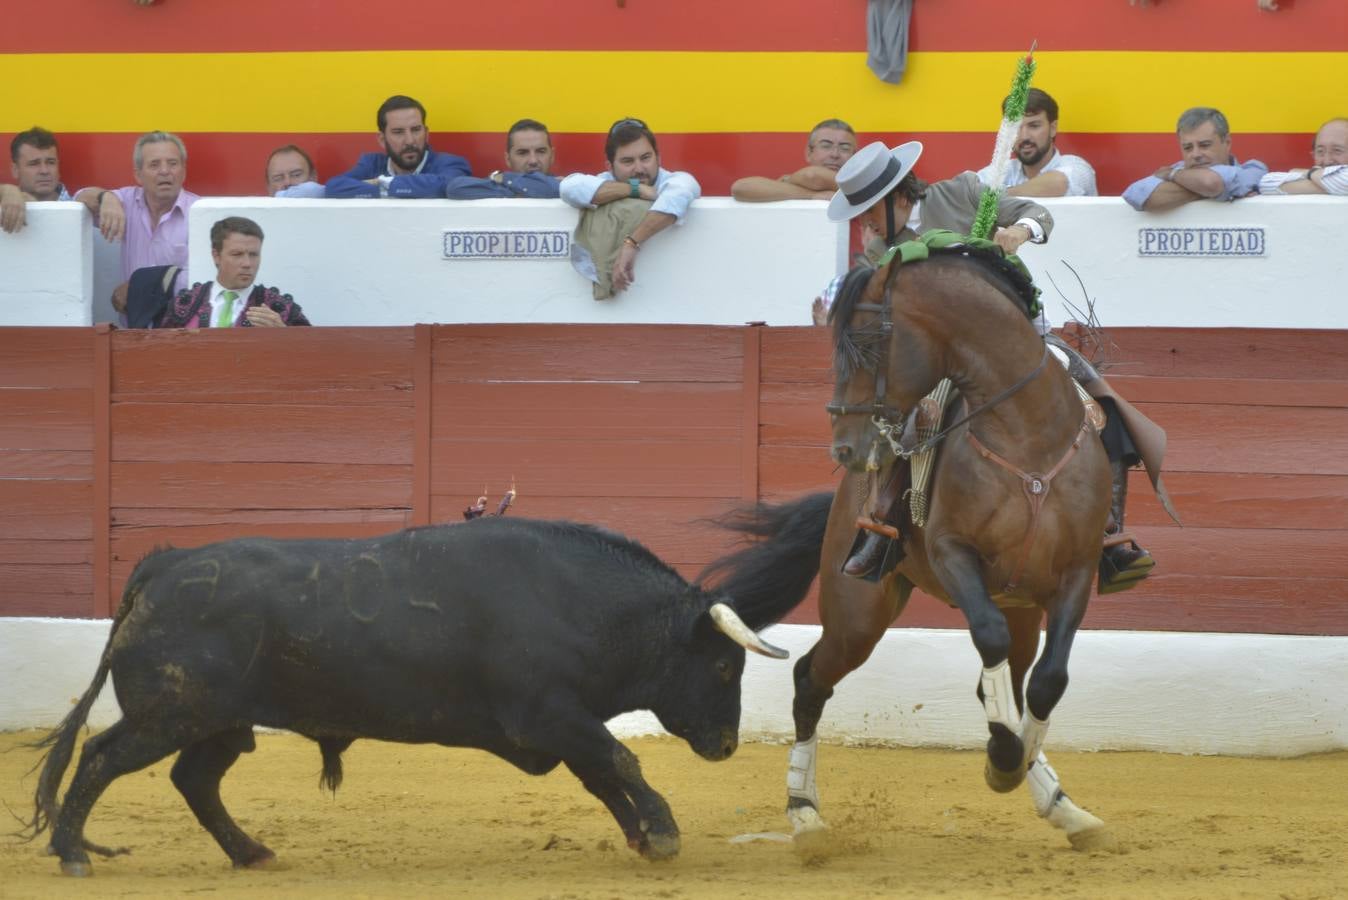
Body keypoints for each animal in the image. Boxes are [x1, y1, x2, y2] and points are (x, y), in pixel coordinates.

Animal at [23, 517, 787, 873]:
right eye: (725, 668)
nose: (725, 747)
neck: (583, 603)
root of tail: (166, 565)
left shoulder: (560, 723)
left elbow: (603, 775)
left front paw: (641, 836)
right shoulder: (551, 715)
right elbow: (620, 762)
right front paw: (662, 831)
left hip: (217, 724)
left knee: (194, 780)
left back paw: (251, 852)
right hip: (170, 714)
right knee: (101, 758)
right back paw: (72, 852)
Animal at [706, 247, 1116, 851]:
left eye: (867, 344)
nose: (844, 448)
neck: (1030, 438)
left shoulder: (1078, 572)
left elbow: (1049, 680)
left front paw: (1015, 764)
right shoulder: (953, 554)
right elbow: (989, 640)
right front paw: (1003, 760)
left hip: (1020, 606)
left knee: (1009, 683)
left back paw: (1064, 807)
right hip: (857, 613)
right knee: (811, 678)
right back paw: (805, 814)